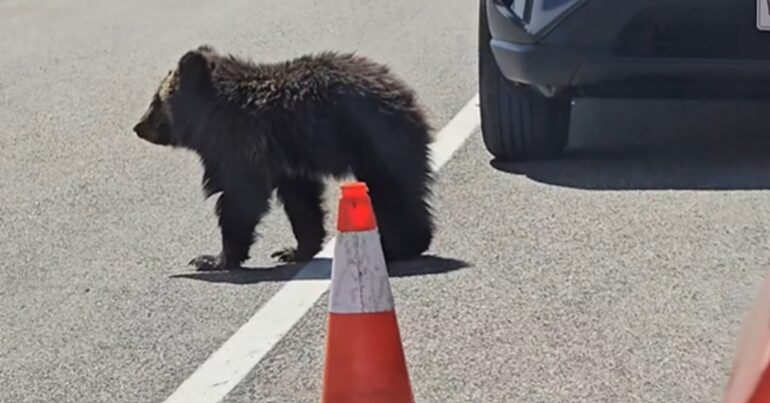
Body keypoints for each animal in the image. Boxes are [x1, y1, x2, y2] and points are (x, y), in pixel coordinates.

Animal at [132, 45, 436, 271]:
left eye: (155, 101)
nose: (138, 126)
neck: (213, 118)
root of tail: (407, 95)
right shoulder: (286, 161)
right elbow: (301, 203)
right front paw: (293, 250)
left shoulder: (244, 145)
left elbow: (241, 199)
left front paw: (212, 258)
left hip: (374, 141)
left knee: (391, 191)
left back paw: (400, 245)